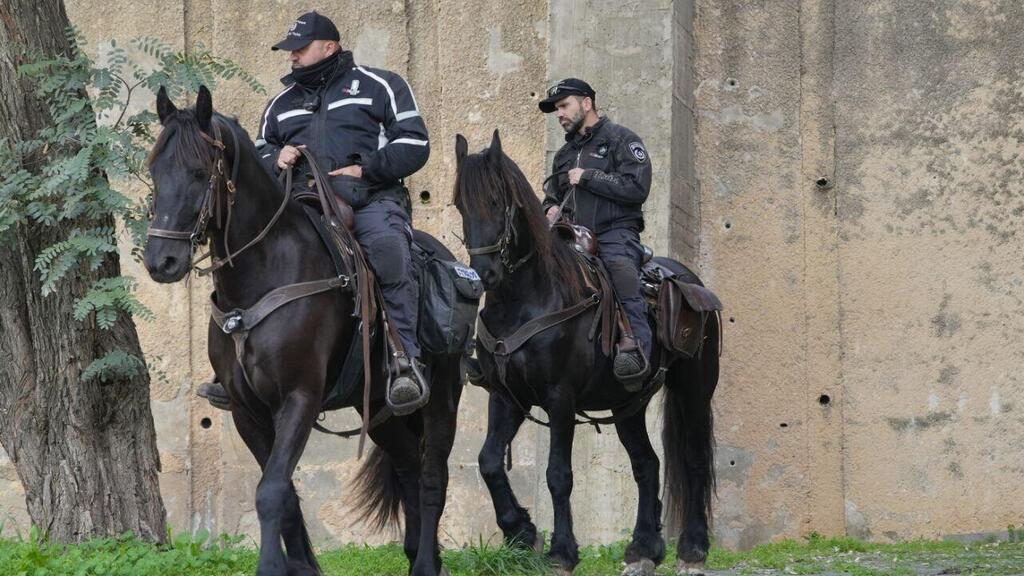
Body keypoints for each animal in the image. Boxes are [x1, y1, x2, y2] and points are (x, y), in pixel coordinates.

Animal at [142, 86, 462, 573]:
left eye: (199, 172)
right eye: (154, 171)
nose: (161, 262)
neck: (265, 274)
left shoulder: (299, 399)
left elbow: (271, 491)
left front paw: (273, 566)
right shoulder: (246, 409)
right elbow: (285, 495)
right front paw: (302, 565)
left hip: (442, 398)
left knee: (431, 476)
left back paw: (426, 562)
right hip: (378, 407)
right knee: (407, 464)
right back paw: (412, 551)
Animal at [452, 131, 716, 573]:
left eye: (497, 200)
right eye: (459, 204)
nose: (485, 274)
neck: (528, 297)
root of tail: (694, 284)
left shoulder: (560, 398)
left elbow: (558, 474)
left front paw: (562, 550)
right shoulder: (507, 396)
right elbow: (489, 461)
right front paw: (521, 532)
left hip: (693, 391)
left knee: (693, 461)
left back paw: (693, 547)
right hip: (628, 406)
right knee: (647, 464)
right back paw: (644, 547)